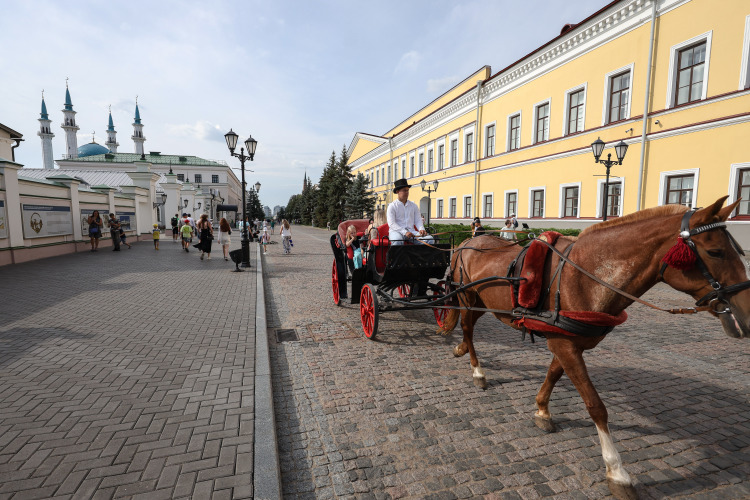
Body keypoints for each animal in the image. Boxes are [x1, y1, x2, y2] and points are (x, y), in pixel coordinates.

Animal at [440, 196, 750, 500]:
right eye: (715, 252)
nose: (746, 312)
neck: (585, 275)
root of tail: (465, 244)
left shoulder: (568, 341)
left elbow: (553, 374)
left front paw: (542, 410)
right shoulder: (565, 343)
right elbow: (595, 405)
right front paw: (616, 471)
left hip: (484, 302)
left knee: (468, 330)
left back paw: (460, 349)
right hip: (467, 297)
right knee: (468, 330)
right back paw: (477, 371)